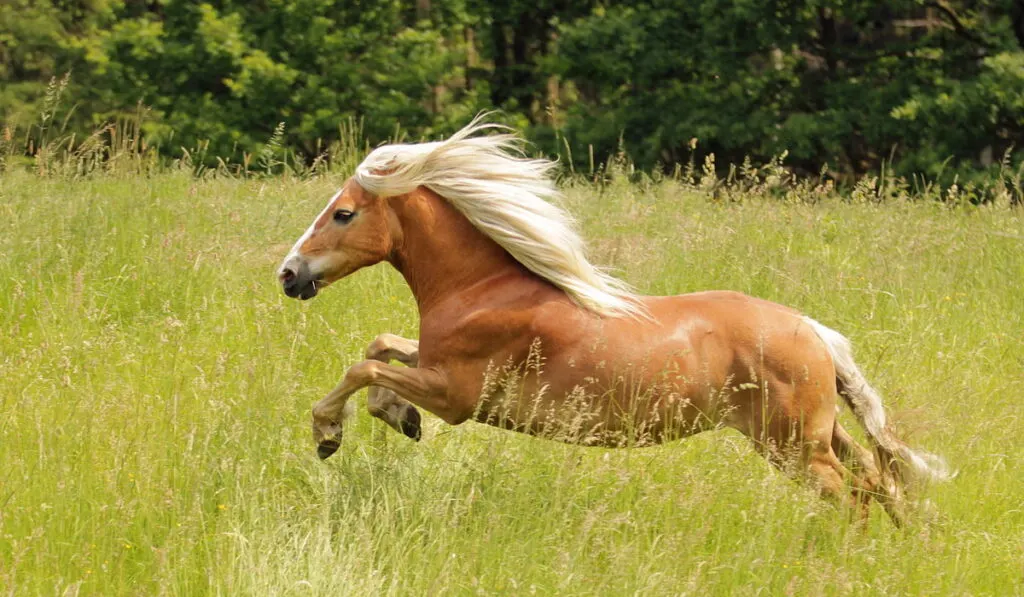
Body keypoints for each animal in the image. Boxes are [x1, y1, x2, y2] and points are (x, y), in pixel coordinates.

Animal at [278, 115, 950, 524]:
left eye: (342, 214)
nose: (289, 274)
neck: (481, 290)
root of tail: (814, 330)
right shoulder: (434, 364)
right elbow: (383, 346)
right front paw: (398, 419)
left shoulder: (456, 394)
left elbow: (363, 367)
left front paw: (330, 434)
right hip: (820, 434)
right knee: (880, 481)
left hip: (794, 448)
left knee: (854, 500)